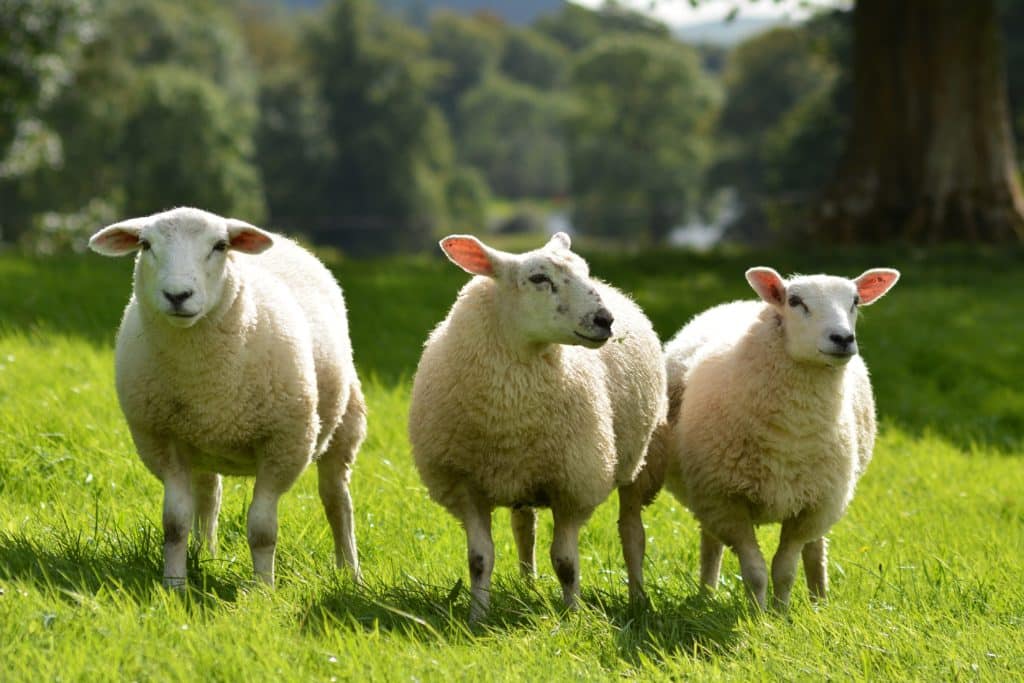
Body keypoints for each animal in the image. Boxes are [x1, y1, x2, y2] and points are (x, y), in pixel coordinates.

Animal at [88, 206, 366, 588]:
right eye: (145, 245)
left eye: (220, 246)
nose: (178, 295)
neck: (203, 379)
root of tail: (285, 241)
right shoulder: (161, 440)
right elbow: (175, 523)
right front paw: (174, 585)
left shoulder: (285, 445)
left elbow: (262, 529)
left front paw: (264, 591)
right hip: (200, 444)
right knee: (209, 495)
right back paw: (205, 553)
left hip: (344, 423)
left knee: (337, 500)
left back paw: (350, 572)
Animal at [408, 233, 667, 620]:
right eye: (538, 278)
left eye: (584, 271)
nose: (604, 319)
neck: (511, 411)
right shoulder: (466, 485)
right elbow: (479, 560)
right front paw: (477, 617)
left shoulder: (573, 485)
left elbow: (566, 563)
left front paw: (573, 616)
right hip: (522, 474)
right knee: (523, 528)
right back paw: (527, 585)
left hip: (638, 461)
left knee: (632, 534)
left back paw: (637, 597)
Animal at [644, 266, 899, 610]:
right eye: (795, 301)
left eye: (855, 301)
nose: (843, 339)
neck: (791, 435)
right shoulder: (726, 501)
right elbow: (755, 570)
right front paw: (759, 613)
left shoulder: (813, 506)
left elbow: (785, 568)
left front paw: (781, 612)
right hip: (706, 493)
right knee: (711, 542)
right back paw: (706, 595)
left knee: (816, 547)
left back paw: (819, 600)